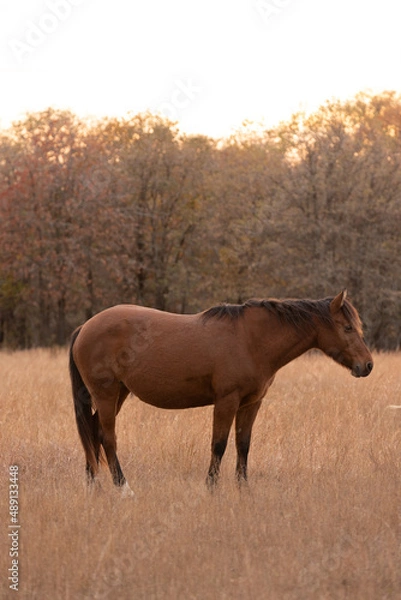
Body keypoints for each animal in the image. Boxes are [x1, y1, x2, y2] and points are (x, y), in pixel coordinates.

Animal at [69, 288, 372, 494]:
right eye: (347, 327)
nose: (367, 365)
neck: (252, 340)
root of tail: (85, 327)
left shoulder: (251, 403)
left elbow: (243, 444)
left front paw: (243, 489)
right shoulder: (227, 401)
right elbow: (219, 444)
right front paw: (212, 487)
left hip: (118, 394)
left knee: (93, 432)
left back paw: (93, 484)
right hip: (106, 394)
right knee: (107, 438)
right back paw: (123, 488)